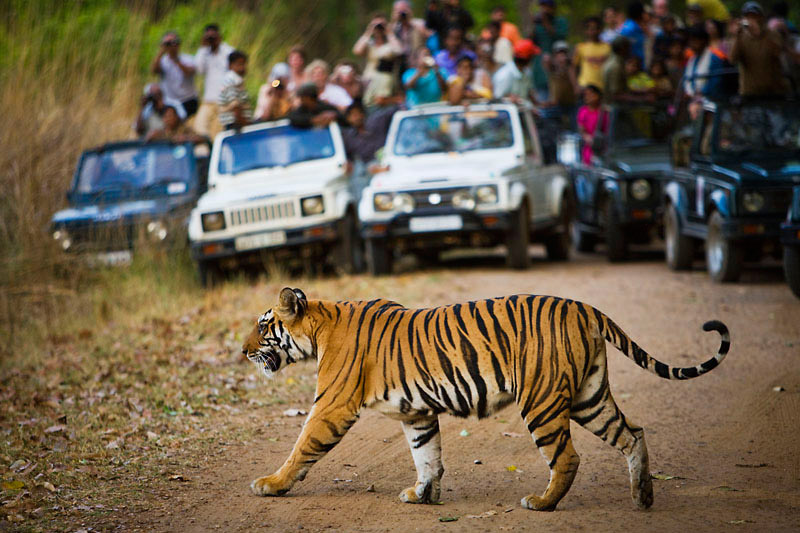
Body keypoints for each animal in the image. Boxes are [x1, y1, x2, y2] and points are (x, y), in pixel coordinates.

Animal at [244, 288, 732, 510]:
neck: (320, 325)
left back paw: (543, 503)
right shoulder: (417, 412)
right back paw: (642, 495)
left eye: (264, 326)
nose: (243, 350)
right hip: (589, 397)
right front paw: (422, 494)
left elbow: (301, 448)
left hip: (541, 401)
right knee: (632, 433)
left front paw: (271, 483)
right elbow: (427, 455)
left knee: (568, 457)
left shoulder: (332, 405)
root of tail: (584, 307)